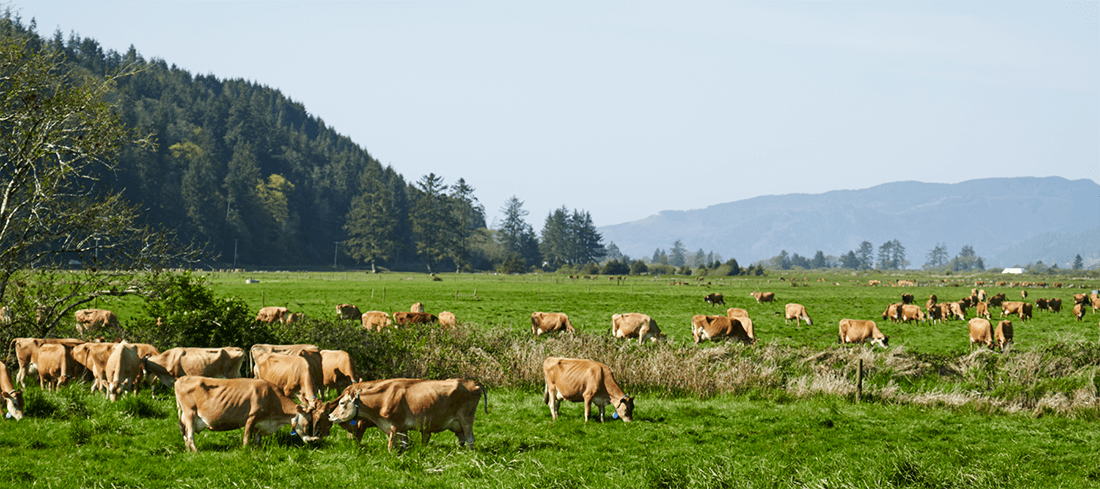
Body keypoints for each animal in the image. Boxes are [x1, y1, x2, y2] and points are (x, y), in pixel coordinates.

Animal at [174, 376, 331, 452]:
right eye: (308, 422)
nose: (313, 440)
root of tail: (180, 379)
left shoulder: (261, 423)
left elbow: (257, 439)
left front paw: (257, 450)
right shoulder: (251, 417)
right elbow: (246, 437)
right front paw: (245, 451)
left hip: (186, 417)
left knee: (185, 434)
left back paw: (188, 451)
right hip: (189, 413)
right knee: (190, 435)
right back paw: (196, 452)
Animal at [328, 378, 487, 451]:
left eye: (342, 403)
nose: (330, 416)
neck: (383, 398)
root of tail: (474, 382)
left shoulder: (394, 426)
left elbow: (391, 446)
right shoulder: (402, 429)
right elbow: (404, 444)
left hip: (466, 420)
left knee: (470, 439)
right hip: (457, 425)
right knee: (462, 439)